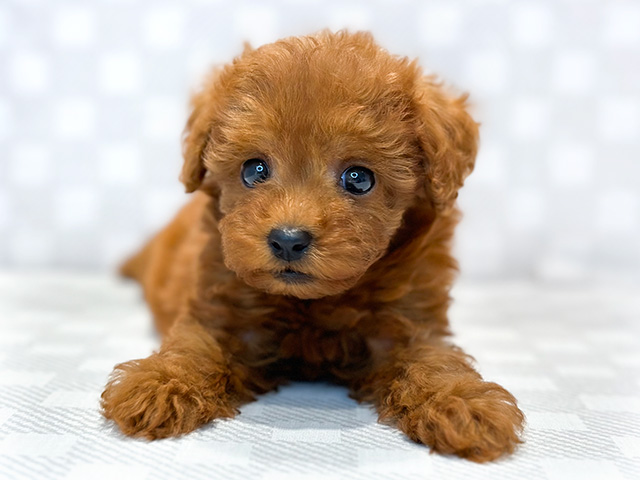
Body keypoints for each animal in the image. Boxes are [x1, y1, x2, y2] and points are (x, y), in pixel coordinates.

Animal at [100, 30, 524, 462]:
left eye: (358, 178)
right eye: (254, 170)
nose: (288, 240)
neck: (313, 305)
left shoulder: (411, 321)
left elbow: (433, 358)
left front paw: (463, 403)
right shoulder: (221, 307)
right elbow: (195, 345)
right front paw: (160, 384)